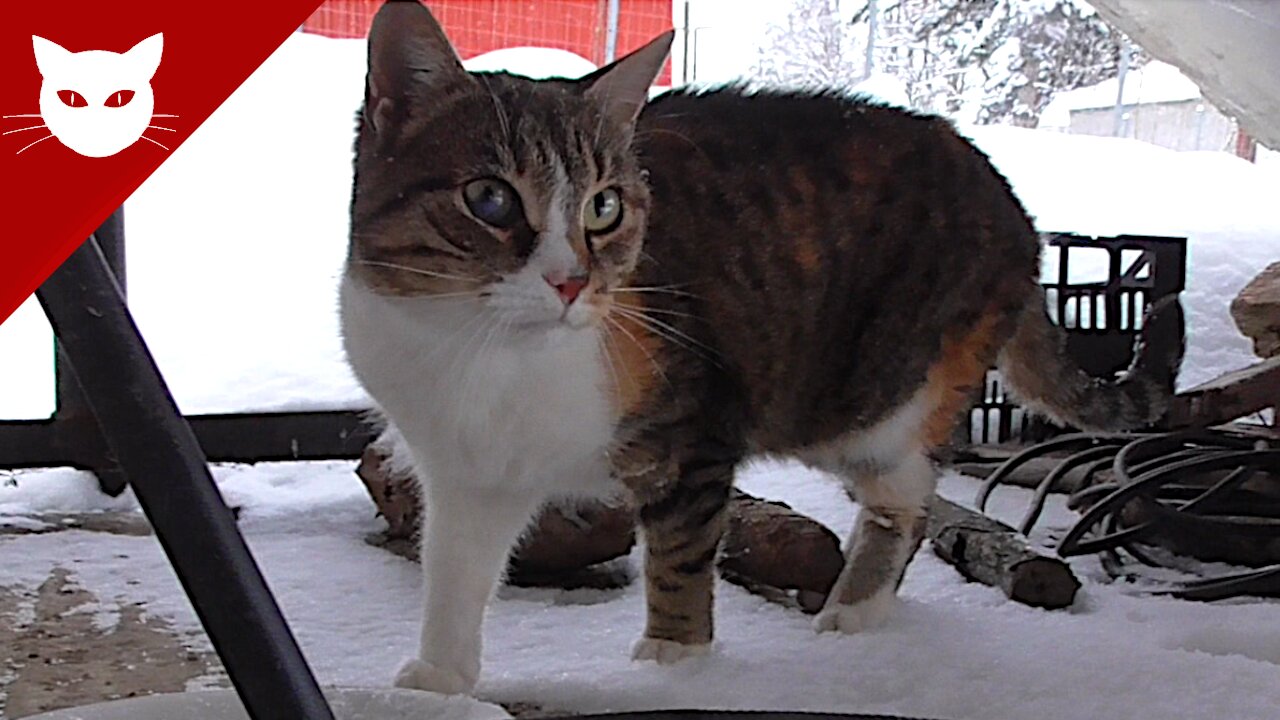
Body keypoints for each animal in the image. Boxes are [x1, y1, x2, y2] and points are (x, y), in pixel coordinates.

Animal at [340, 1, 1177, 696]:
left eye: (603, 207)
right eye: (489, 199)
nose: (573, 282)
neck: (485, 355)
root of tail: (1020, 212)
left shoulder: (694, 428)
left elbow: (681, 553)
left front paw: (672, 664)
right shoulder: (465, 470)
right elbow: (455, 570)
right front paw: (438, 682)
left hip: (875, 397)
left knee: (907, 495)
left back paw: (854, 611)